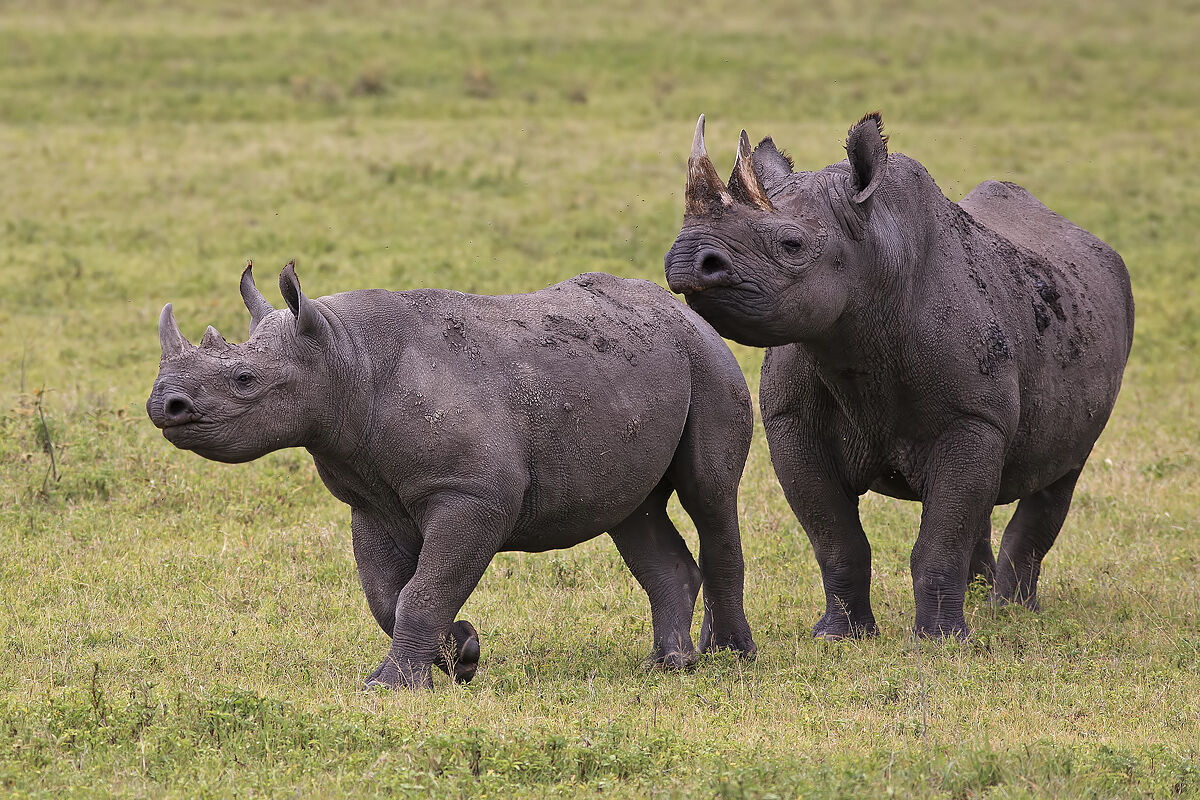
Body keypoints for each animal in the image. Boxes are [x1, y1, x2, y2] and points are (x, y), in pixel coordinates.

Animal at [146, 263, 756, 688]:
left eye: (245, 379)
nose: (163, 405)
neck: (342, 357)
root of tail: (686, 312)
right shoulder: (371, 500)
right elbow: (388, 595)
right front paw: (462, 654)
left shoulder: (472, 494)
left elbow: (423, 588)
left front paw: (392, 688)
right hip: (638, 373)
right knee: (634, 514)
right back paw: (669, 664)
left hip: (707, 359)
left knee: (710, 496)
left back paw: (730, 658)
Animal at [664, 113, 1133, 639]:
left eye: (792, 244)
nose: (686, 257)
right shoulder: (792, 421)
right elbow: (836, 539)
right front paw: (839, 635)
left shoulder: (972, 418)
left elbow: (940, 537)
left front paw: (940, 641)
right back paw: (981, 600)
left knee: (1061, 472)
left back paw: (1010, 612)